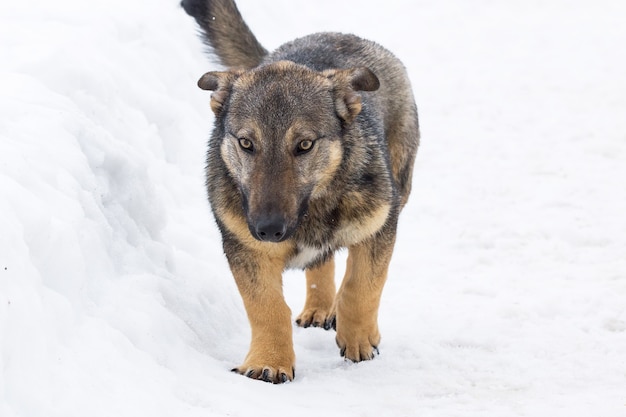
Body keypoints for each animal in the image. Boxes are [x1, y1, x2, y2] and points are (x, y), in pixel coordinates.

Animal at [183, 0, 420, 384]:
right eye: (246, 143)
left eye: (305, 145)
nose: (268, 229)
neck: (310, 212)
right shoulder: (245, 248)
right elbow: (266, 306)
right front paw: (268, 361)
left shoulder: (380, 225)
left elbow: (361, 286)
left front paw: (359, 339)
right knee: (321, 263)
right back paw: (319, 307)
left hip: (403, 182)